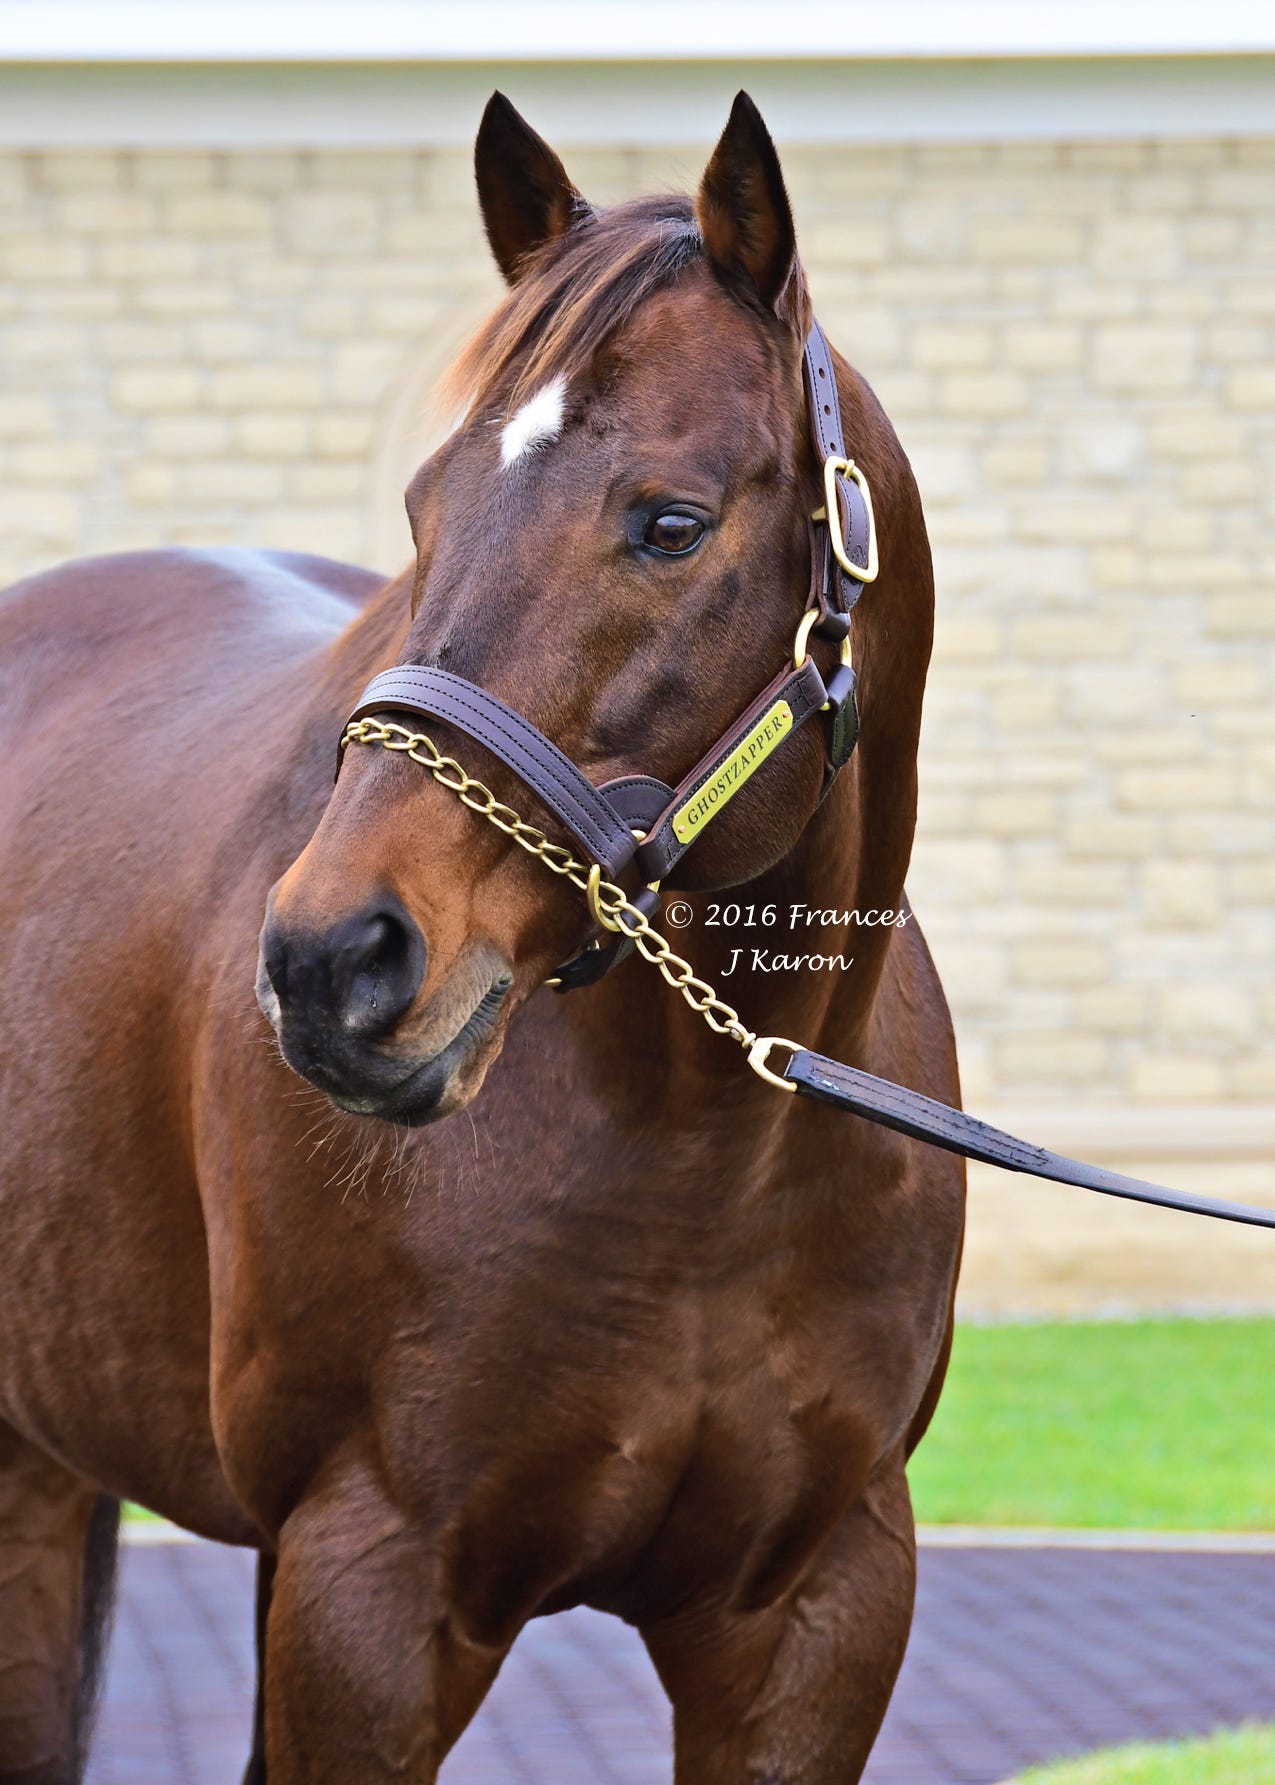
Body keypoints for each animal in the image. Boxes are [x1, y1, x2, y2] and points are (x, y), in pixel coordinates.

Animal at [0, 90, 957, 1777]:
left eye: (669, 521)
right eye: (421, 508)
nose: (329, 964)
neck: (713, 1159)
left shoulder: (816, 1612)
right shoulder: (372, 1589)